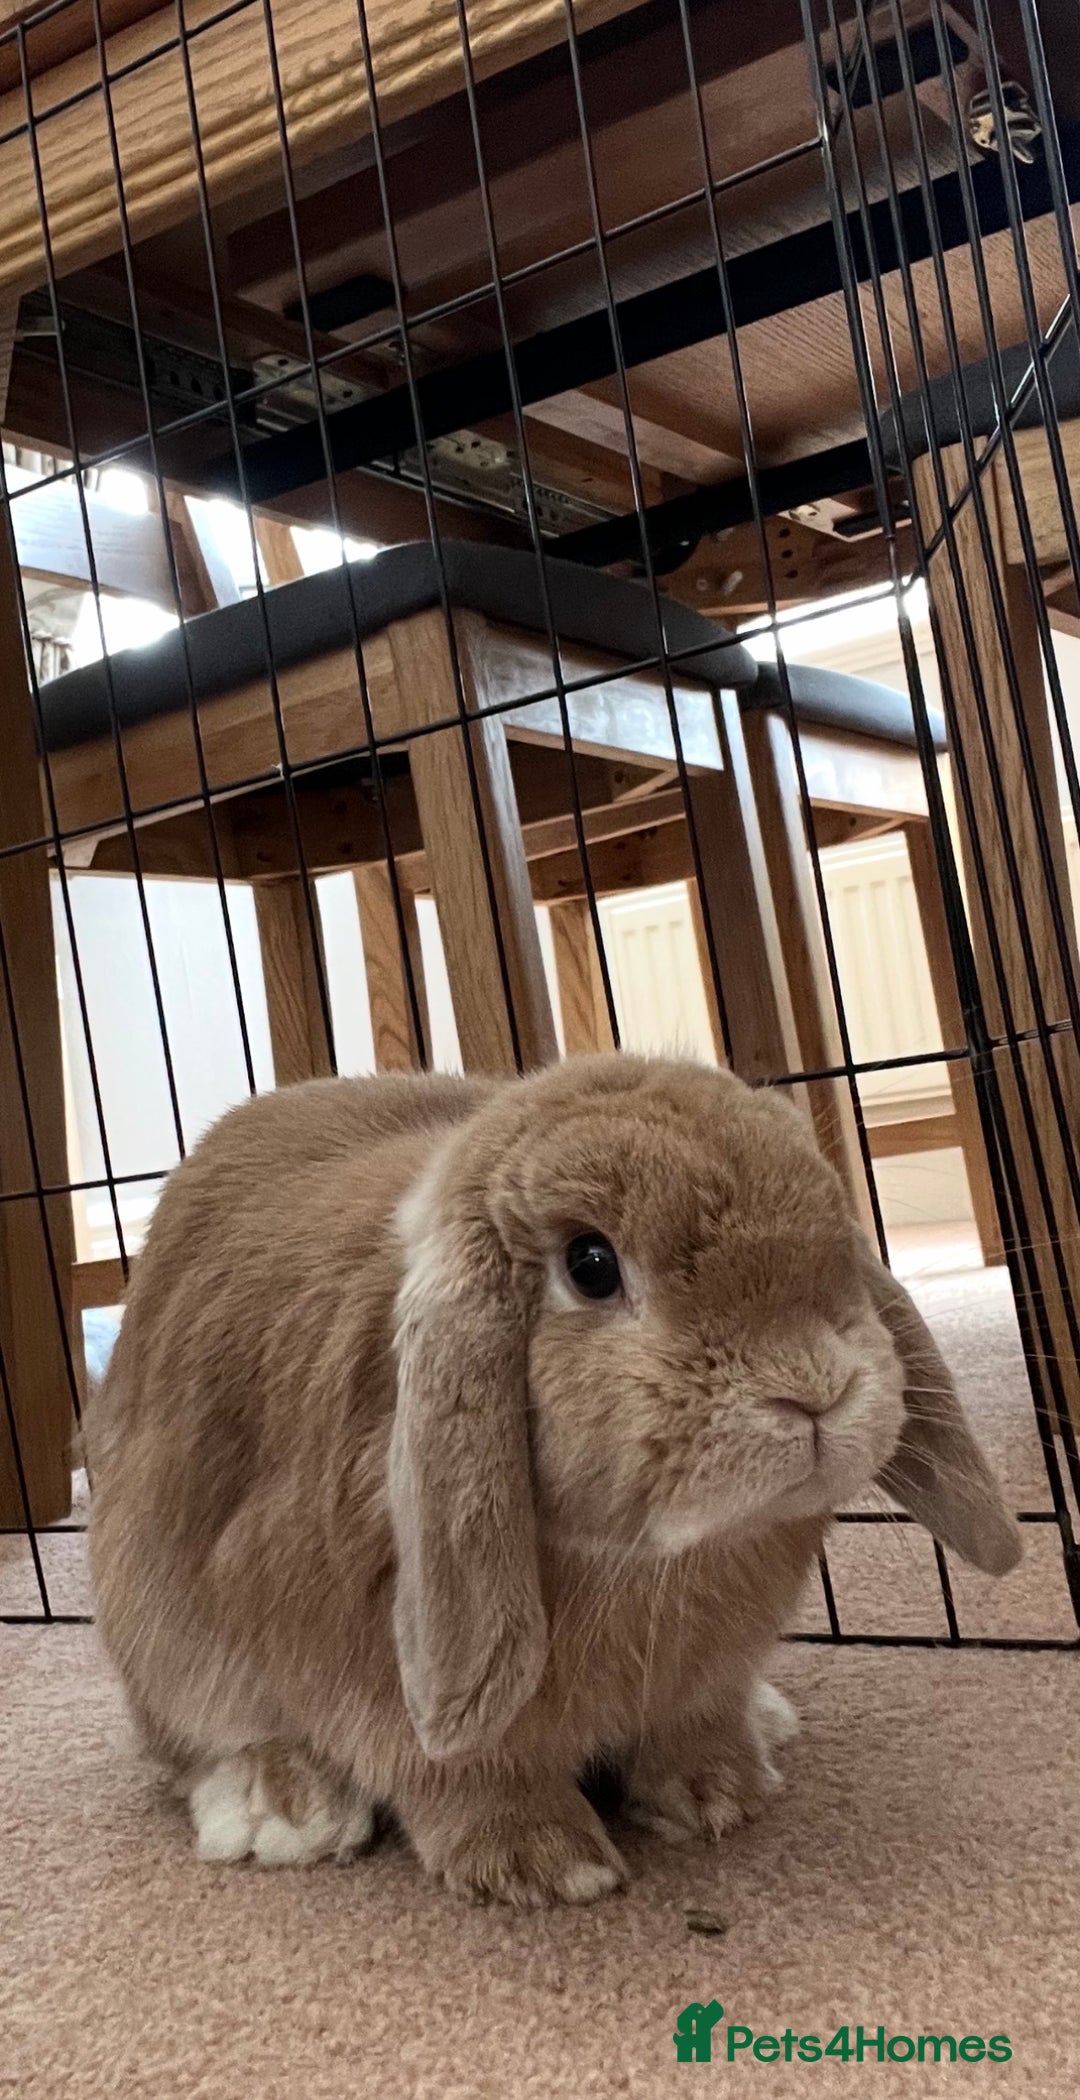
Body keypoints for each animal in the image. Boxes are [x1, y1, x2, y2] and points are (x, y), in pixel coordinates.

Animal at [85, 1053, 1020, 1908]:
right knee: (198, 1738)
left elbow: (699, 1722)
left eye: (833, 1221)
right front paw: (541, 1863)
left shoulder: (703, 1674)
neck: (649, 1565)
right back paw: (283, 1809)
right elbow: (448, 1768)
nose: (815, 1389)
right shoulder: (349, 1654)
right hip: (150, 1618)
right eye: (592, 1265)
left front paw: (720, 1795)